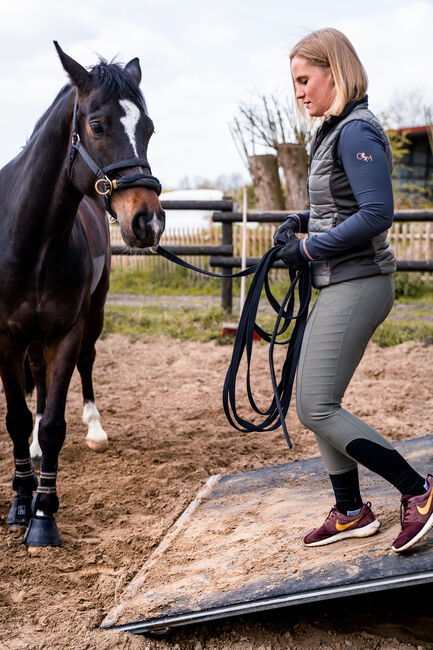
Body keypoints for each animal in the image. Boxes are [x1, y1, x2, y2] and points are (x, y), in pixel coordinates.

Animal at [0, 43, 165, 544]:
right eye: (97, 125)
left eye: (148, 128)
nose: (148, 221)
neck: (28, 239)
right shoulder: (5, 338)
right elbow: (17, 418)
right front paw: (20, 500)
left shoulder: (66, 332)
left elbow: (56, 423)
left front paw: (43, 516)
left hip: (94, 311)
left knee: (87, 363)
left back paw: (94, 429)